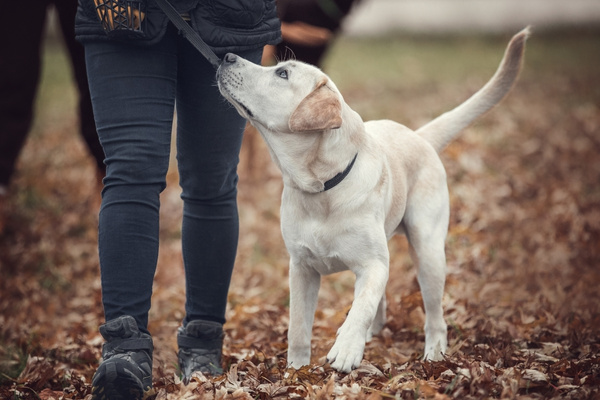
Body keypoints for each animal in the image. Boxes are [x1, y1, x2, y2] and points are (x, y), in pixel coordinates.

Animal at [217, 27, 528, 372]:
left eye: (282, 73)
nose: (226, 56)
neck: (323, 188)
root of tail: (418, 136)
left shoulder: (373, 264)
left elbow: (361, 306)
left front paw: (346, 348)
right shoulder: (301, 268)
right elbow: (298, 327)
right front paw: (296, 370)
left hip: (428, 250)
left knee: (434, 315)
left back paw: (434, 354)